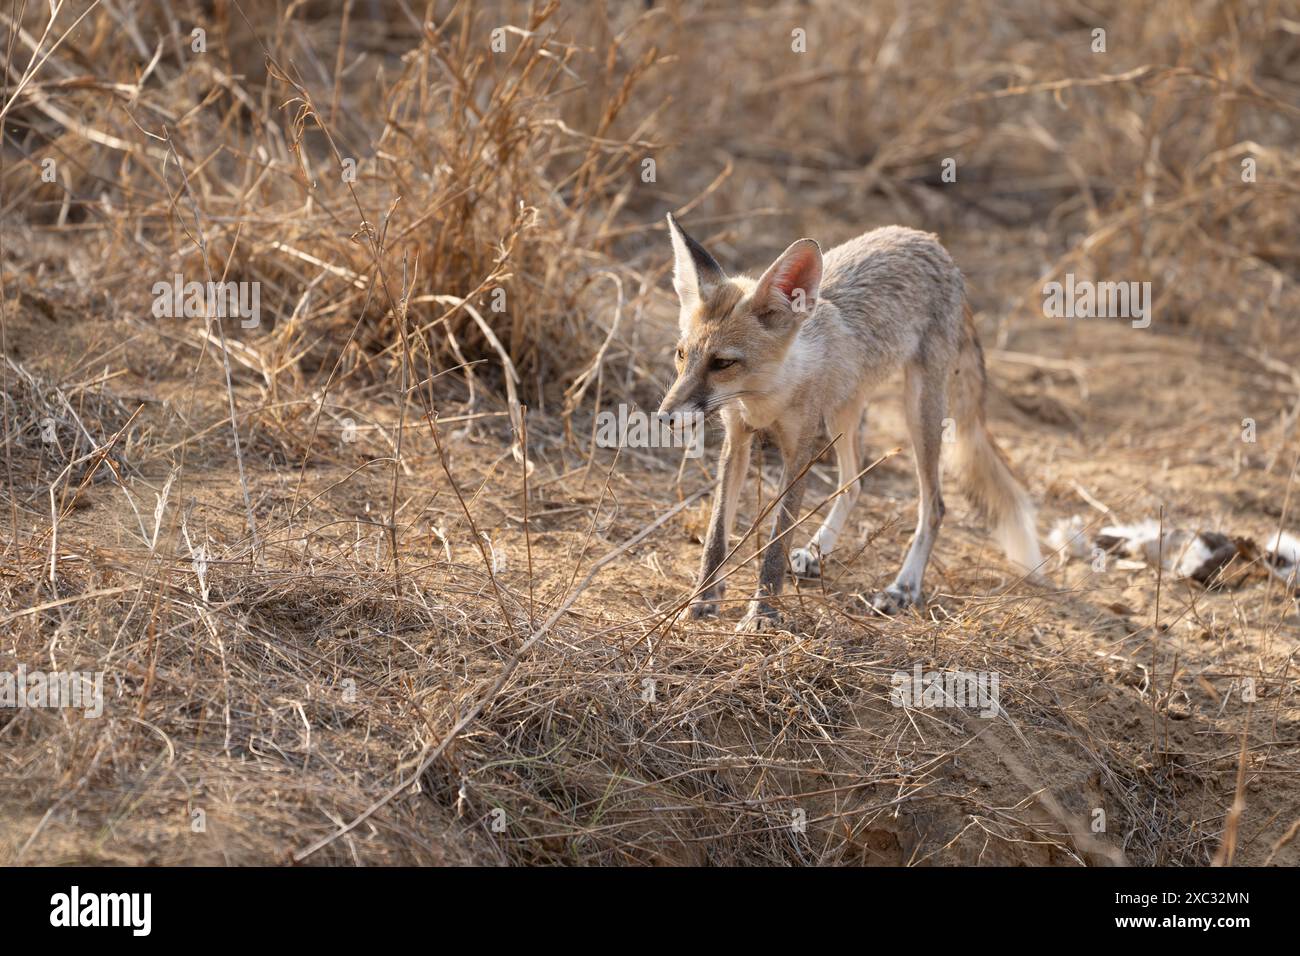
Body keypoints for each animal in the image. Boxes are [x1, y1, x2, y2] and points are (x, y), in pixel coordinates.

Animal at [658, 213, 1042, 632]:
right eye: (681, 355)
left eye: (723, 363)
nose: (664, 416)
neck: (764, 398)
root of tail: (929, 240)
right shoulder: (737, 440)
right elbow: (715, 536)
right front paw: (703, 597)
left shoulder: (801, 451)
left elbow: (777, 541)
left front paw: (764, 613)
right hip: (844, 409)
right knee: (854, 481)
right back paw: (817, 550)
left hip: (919, 412)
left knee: (934, 506)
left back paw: (903, 587)